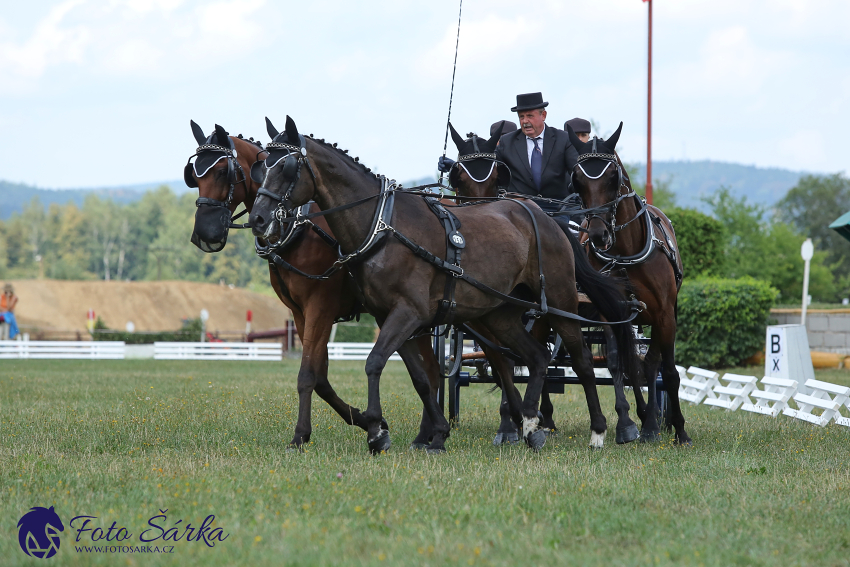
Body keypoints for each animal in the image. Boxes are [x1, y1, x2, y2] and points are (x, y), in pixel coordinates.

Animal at [184, 122, 438, 450]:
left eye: (222, 171)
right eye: (194, 174)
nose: (204, 233)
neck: (299, 227)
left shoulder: (320, 307)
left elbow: (308, 374)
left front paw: (301, 434)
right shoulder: (300, 312)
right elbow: (320, 378)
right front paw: (368, 421)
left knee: (434, 372)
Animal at [248, 115, 632, 452]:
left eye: (286, 167)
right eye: (261, 165)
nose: (258, 218)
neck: (383, 226)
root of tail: (546, 217)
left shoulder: (406, 313)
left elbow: (373, 362)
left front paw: (376, 430)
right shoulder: (390, 316)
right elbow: (420, 376)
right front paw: (432, 433)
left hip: (560, 301)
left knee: (583, 361)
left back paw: (601, 430)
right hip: (498, 314)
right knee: (534, 357)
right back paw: (529, 426)